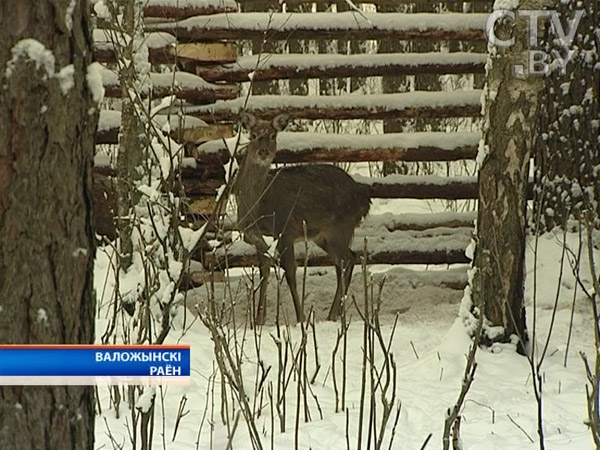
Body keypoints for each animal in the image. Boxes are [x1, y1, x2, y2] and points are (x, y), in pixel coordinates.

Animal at [233, 112, 370, 324]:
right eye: (253, 135)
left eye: (273, 135)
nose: (264, 152)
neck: (258, 205)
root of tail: (364, 198)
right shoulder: (252, 232)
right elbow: (265, 268)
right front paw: (258, 321)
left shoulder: (285, 228)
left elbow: (290, 271)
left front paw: (301, 318)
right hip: (323, 236)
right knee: (345, 260)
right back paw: (335, 314)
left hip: (340, 227)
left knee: (348, 259)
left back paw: (333, 314)